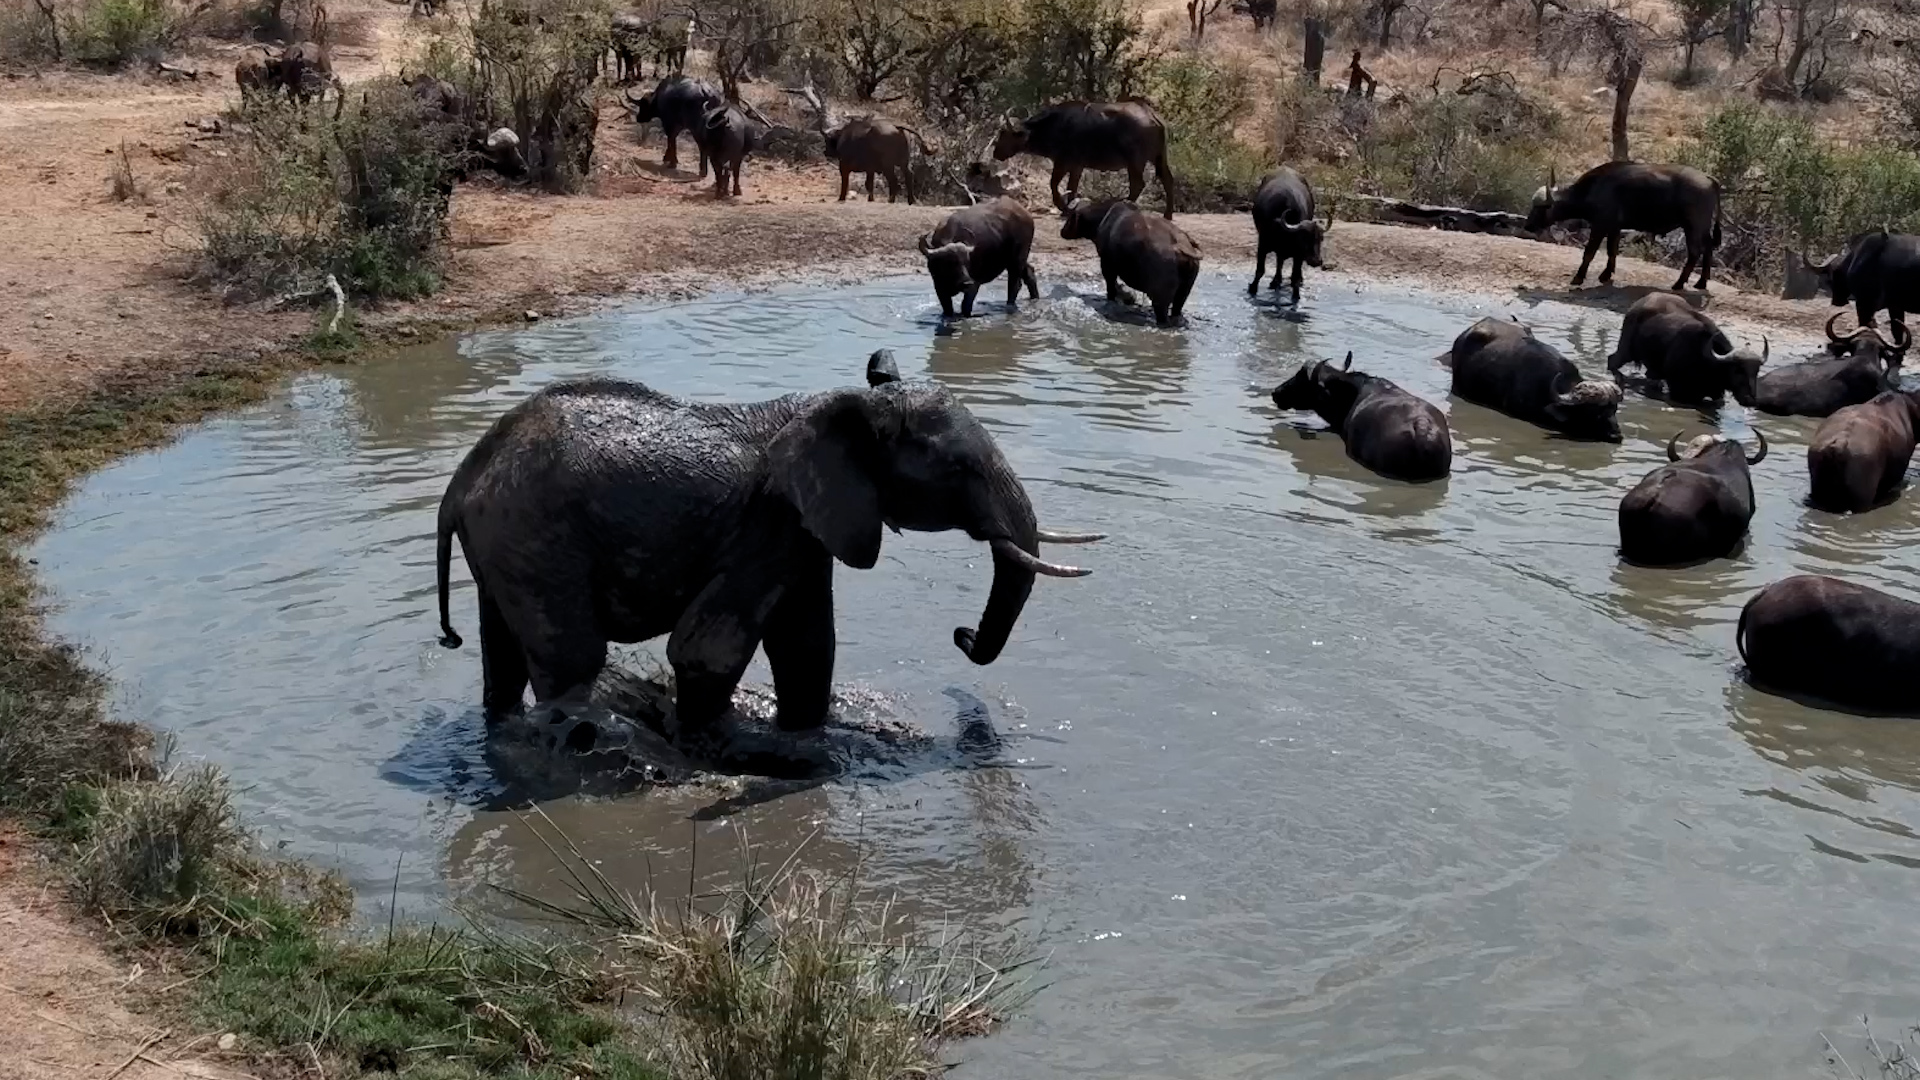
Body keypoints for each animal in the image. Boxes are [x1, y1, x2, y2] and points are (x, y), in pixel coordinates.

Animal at [434, 364, 1103, 744]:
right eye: (959, 469)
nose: (962, 636)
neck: (843, 403)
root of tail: (461, 482)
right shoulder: (768, 520)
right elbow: (707, 649)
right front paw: (712, 745)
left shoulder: (806, 528)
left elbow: (808, 644)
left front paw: (803, 741)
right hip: (533, 534)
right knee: (572, 656)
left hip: (507, 543)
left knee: (502, 656)